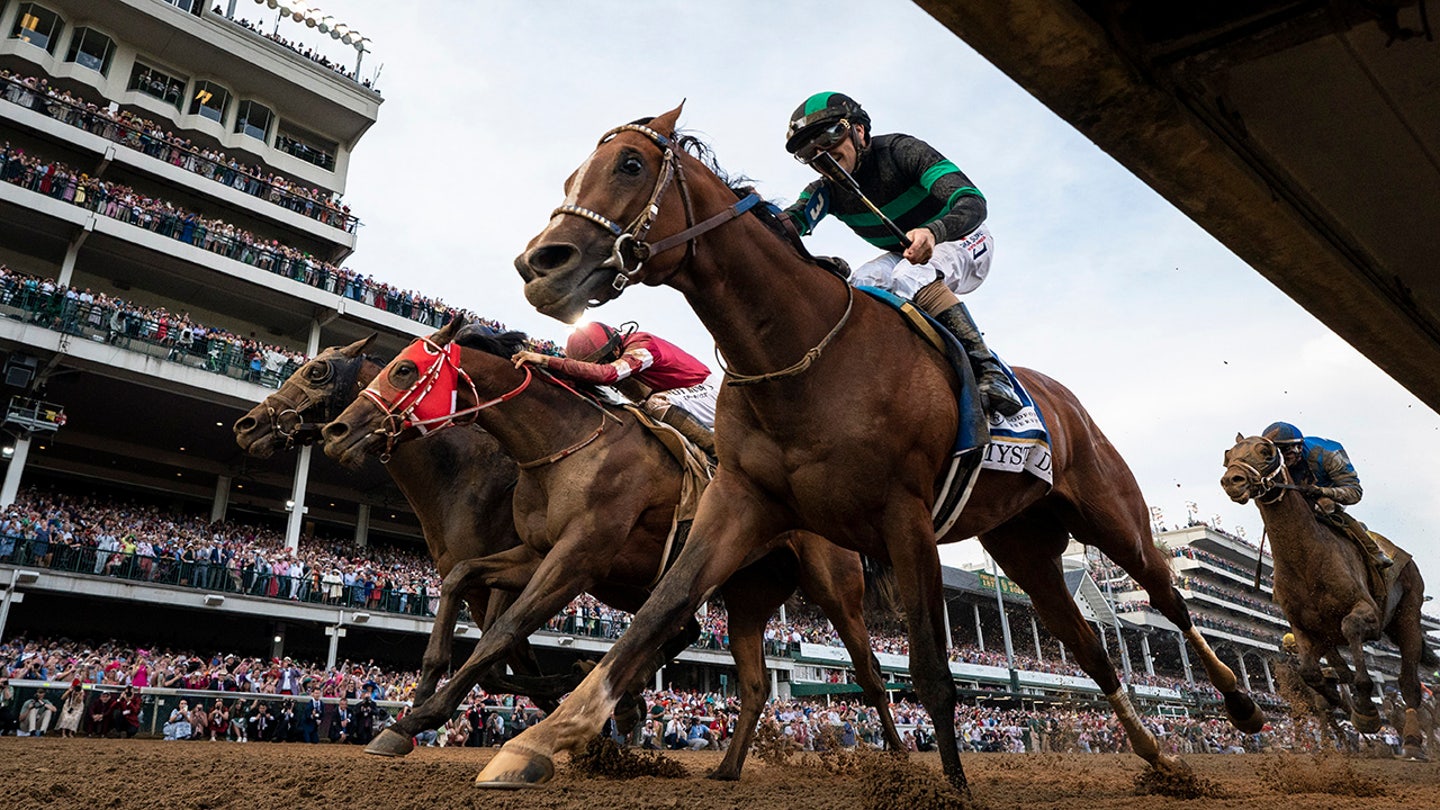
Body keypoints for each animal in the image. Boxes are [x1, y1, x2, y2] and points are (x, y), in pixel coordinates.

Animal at [322, 319, 904, 778]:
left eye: (403, 369)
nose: (336, 430)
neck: (561, 446)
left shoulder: (578, 558)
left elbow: (504, 631)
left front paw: (419, 718)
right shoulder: (536, 553)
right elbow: (459, 576)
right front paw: (416, 705)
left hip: (834, 588)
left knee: (872, 675)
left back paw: (900, 761)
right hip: (746, 593)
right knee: (754, 682)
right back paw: (721, 766)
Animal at [486, 103, 1272, 789]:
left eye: (629, 164)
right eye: (571, 177)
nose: (539, 264)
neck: (801, 351)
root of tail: (1063, 400)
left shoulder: (905, 516)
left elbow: (930, 672)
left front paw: (949, 786)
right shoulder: (739, 501)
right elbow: (658, 611)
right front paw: (538, 740)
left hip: (1113, 517)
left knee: (1169, 603)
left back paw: (1241, 705)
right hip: (1025, 547)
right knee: (1089, 649)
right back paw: (1162, 760)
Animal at [1226, 435, 1428, 755]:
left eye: (1266, 451)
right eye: (1228, 455)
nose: (1231, 481)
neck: (1306, 559)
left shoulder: (1367, 613)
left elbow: (1352, 633)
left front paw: (1366, 711)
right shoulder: (1307, 630)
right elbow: (1312, 673)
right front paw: (1343, 702)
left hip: (1408, 615)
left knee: (1408, 681)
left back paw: (1411, 741)